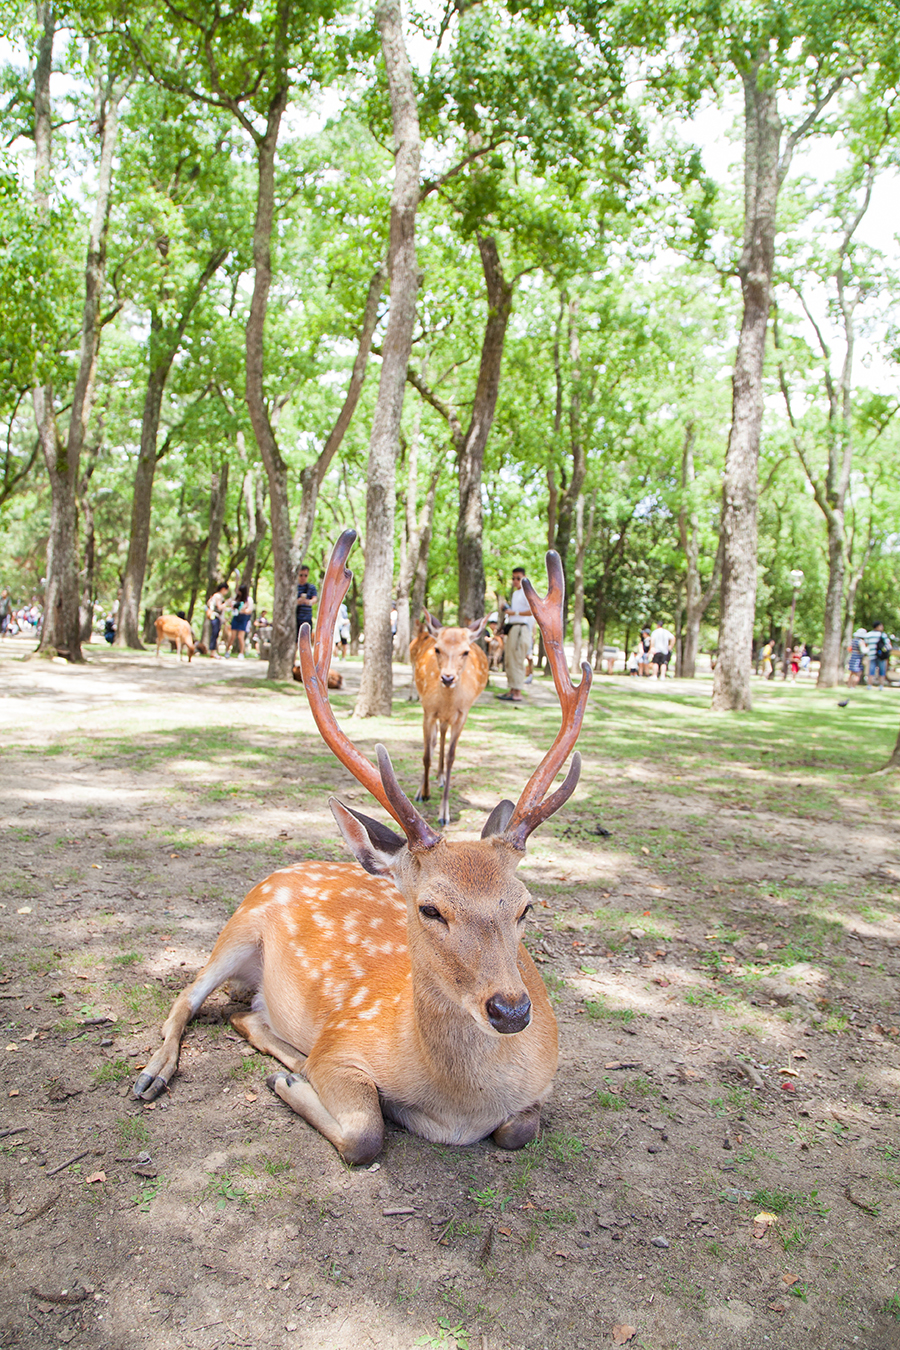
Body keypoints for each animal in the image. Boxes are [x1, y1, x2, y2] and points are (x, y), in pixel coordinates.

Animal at [412, 610, 488, 820]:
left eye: (465, 652)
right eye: (437, 649)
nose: (447, 678)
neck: (447, 702)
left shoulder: (462, 715)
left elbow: (452, 757)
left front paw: (444, 814)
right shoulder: (428, 711)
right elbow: (426, 754)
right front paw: (424, 793)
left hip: (450, 718)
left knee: (443, 735)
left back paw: (440, 777)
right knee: (434, 740)